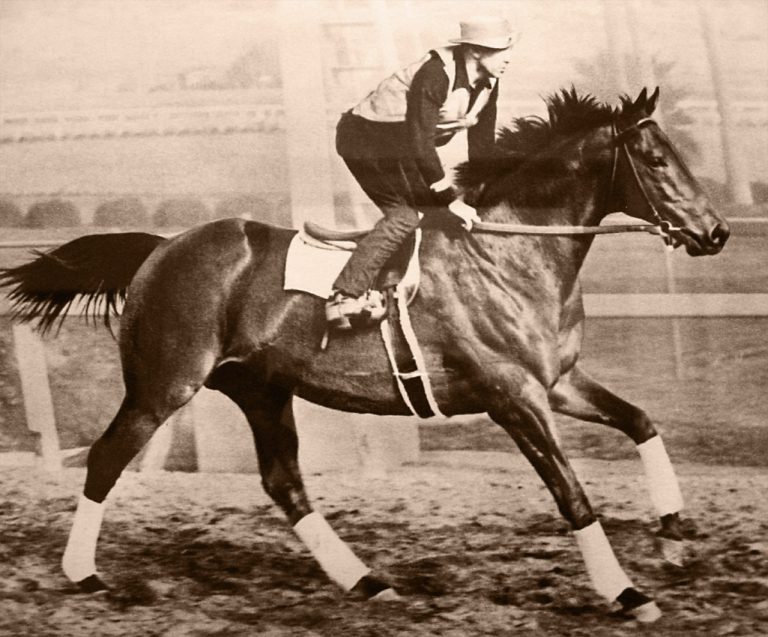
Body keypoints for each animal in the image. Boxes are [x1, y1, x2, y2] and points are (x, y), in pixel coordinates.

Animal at [1, 88, 729, 623]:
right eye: (656, 160)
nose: (716, 231)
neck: (510, 251)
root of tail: (161, 247)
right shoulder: (512, 396)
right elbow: (572, 494)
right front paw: (627, 591)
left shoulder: (558, 383)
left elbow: (641, 422)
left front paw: (673, 536)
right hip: (164, 385)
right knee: (105, 458)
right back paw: (82, 572)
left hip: (261, 388)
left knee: (284, 483)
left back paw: (366, 581)